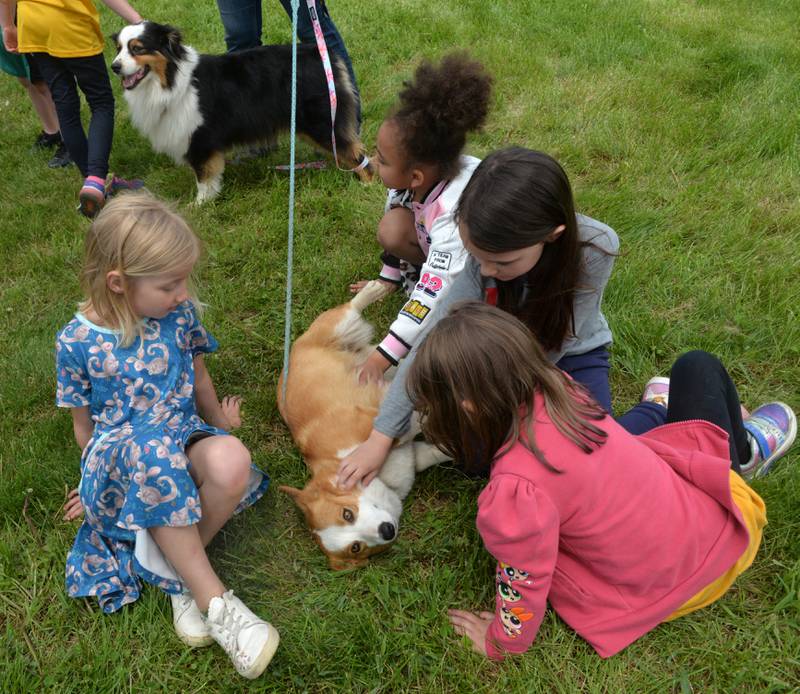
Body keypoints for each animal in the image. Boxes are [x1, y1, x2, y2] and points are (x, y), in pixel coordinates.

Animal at [111, 19, 370, 204]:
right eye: (119, 49)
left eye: (137, 49)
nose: (114, 66)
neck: (170, 80)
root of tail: (323, 54)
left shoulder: (200, 139)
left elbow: (203, 176)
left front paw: (200, 205)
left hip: (321, 123)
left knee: (358, 154)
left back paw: (368, 184)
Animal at [278, 282, 446, 572]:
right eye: (356, 548)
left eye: (347, 514)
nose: (387, 531)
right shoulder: (413, 455)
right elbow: (433, 448)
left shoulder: (376, 422)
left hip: (338, 326)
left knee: (350, 308)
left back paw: (374, 289)